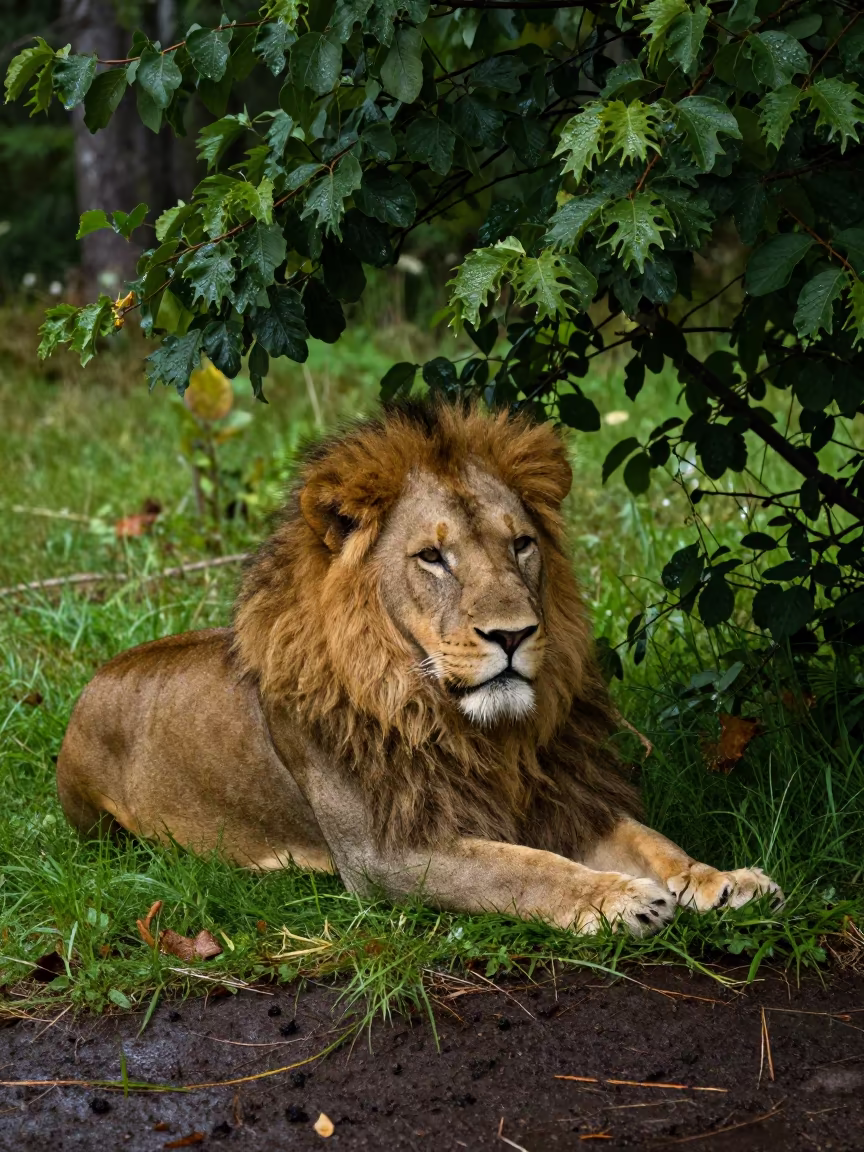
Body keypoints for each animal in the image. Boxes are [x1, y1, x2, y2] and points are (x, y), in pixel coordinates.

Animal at [57, 403, 781, 935]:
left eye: (521, 544)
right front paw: (617, 900)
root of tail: (94, 681)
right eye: (433, 557)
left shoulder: (559, 797)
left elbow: (654, 842)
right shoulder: (388, 855)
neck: (473, 730)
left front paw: (722, 882)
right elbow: (520, 869)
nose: (513, 634)